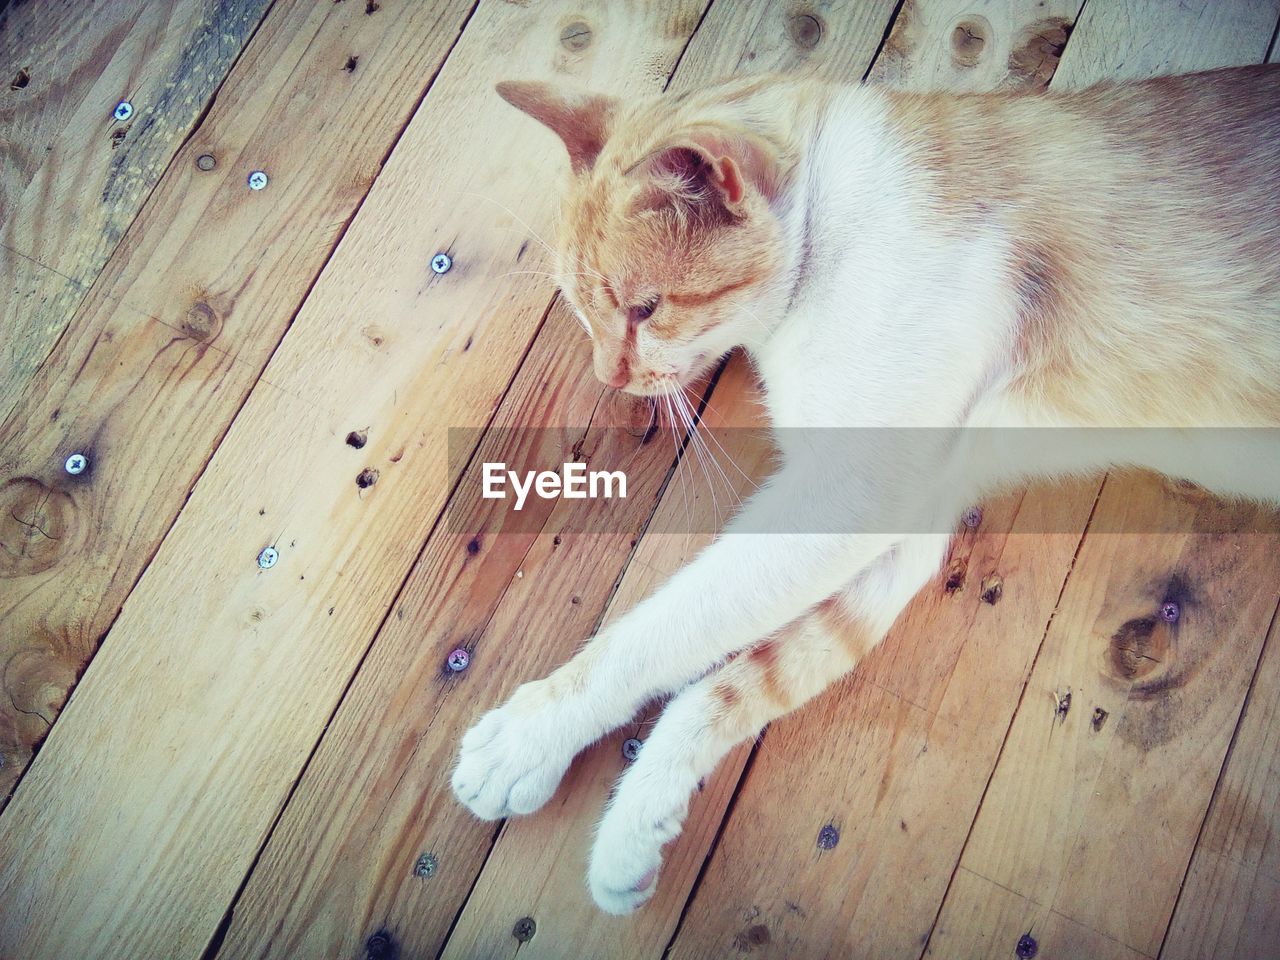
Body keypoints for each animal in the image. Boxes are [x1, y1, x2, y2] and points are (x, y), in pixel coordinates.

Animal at [450, 64, 1280, 911]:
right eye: (582, 310)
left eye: (645, 309)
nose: (608, 378)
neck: (827, 221)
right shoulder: (907, 522)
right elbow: (739, 679)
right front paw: (635, 827)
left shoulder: (850, 495)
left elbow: (660, 629)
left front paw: (528, 740)